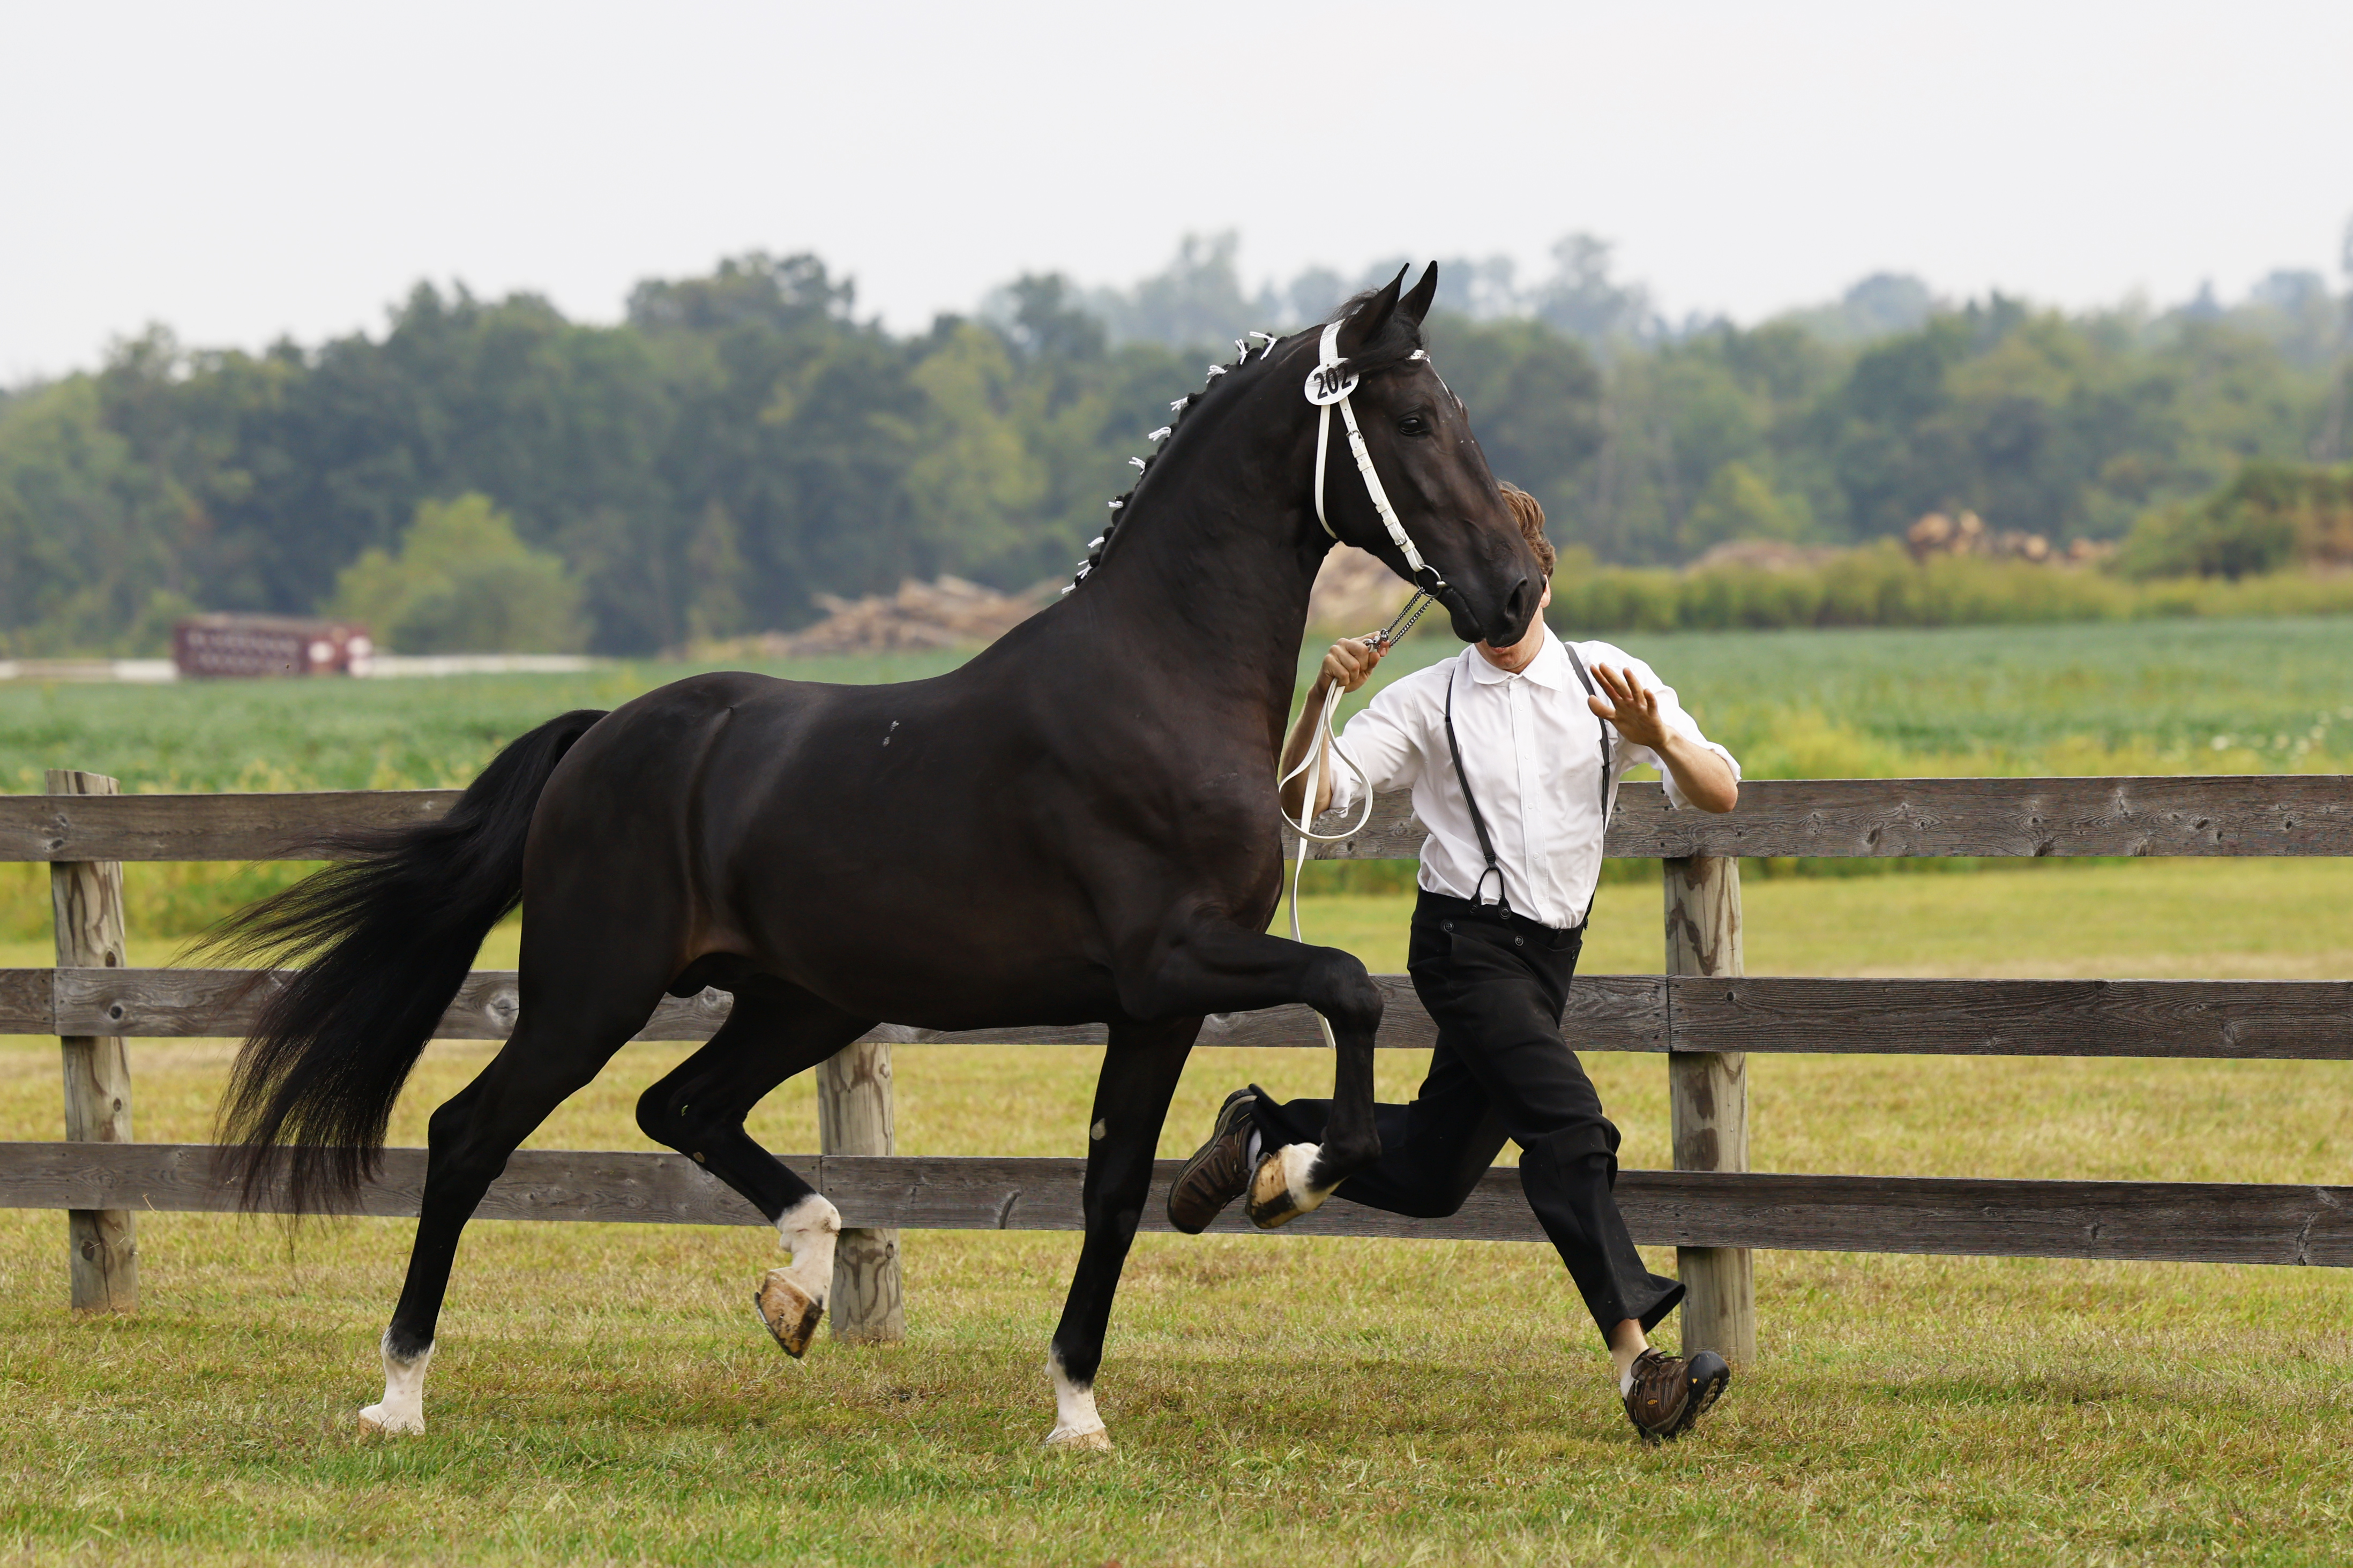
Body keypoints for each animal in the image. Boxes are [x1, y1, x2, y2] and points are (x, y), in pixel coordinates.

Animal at [209, 262, 1540, 1449]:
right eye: (1414, 419)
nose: (1515, 591)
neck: (1159, 678)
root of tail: (603, 734)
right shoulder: (1172, 962)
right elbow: (1347, 987)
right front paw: (1289, 1173)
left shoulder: (1153, 1006)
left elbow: (1114, 1186)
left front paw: (1079, 1403)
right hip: (590, 991)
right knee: (467, 1133)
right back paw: (400, 1391)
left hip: (799, 999)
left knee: (678, 1103)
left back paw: (799, 1279)